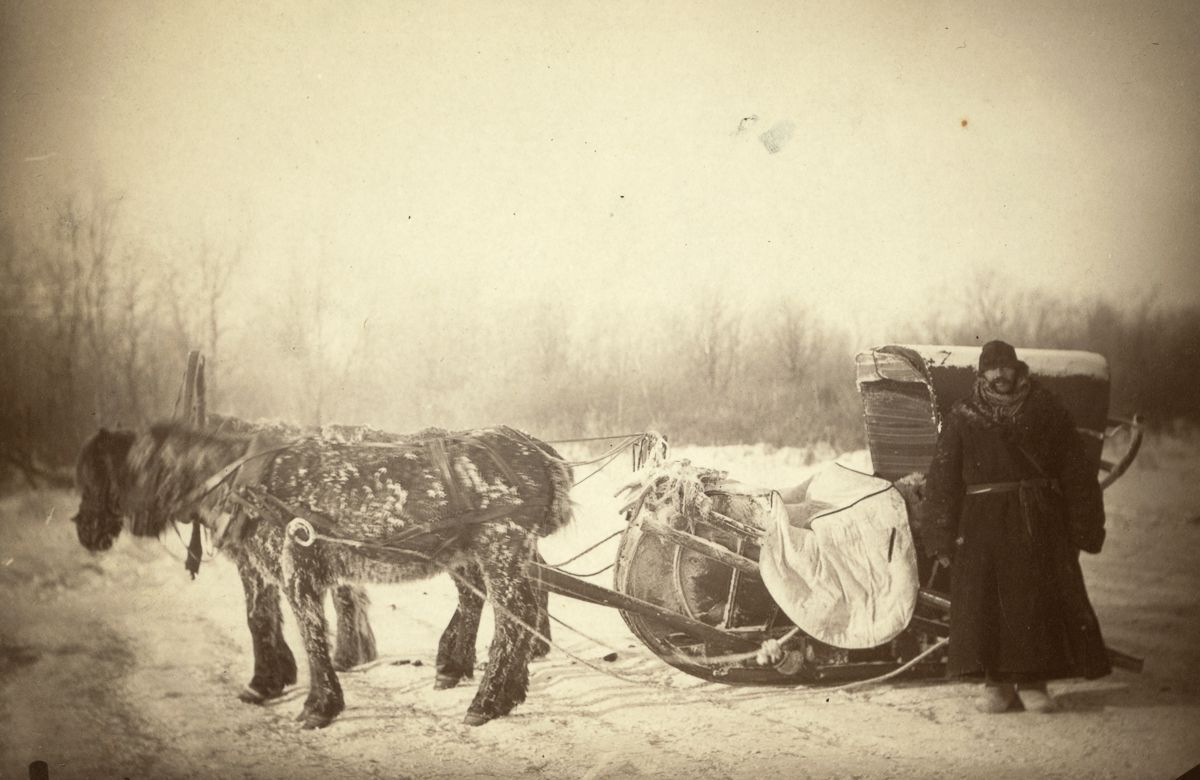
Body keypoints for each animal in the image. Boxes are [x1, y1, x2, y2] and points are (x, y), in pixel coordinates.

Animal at [72, 420, 573, 724]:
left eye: (94, 476)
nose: (84, 531)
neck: (239, 479)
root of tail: (536, 451)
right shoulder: (264, 565)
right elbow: (265, 619)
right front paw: (270, 681)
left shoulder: (295, 568)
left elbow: (309, 631)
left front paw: (318, 704)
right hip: (482, 555)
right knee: (510, 609)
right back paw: (497, 686)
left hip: (500, 550)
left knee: (513, 619)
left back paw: (487, 699)